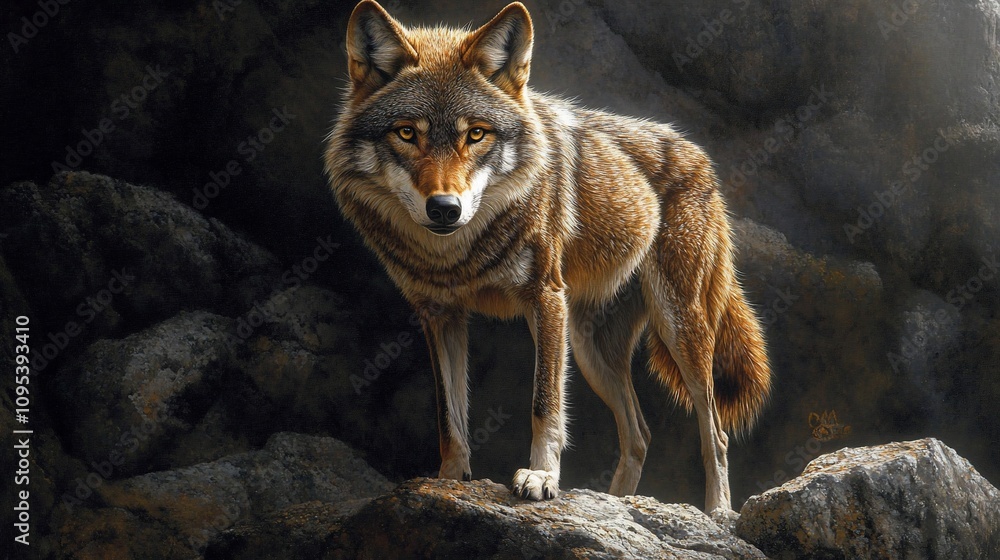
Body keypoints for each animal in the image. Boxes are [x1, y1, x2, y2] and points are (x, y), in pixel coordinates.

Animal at [324, 0, 771, 516]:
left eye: (476, 135)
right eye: (406, 133)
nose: (445, 208)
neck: (458, 255)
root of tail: (700, 156)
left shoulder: (544, 299)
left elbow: (544, 405)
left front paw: (540, 477)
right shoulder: (439, 314)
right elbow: (448, 418)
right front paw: (448, 483)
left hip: (677, 328)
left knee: (714, 431)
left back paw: (718, 512)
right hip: (591, 348)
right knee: (639, 433)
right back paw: (615, 503)